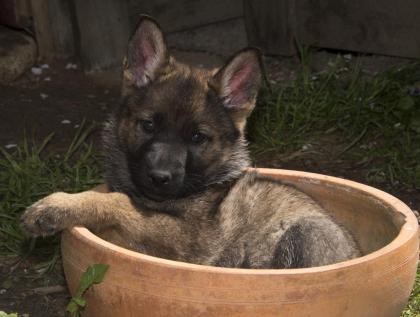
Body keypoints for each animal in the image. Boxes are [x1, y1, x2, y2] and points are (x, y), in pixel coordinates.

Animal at [20, 15, 360, 266]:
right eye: (148, 126)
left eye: (198, 138)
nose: (159, 177)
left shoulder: (187, 240)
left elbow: (117, 201)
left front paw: (55, 206)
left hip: (307, 232)